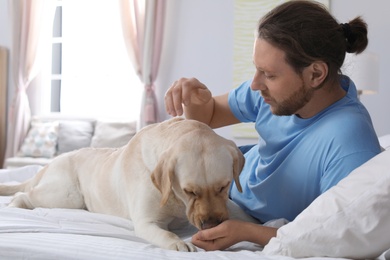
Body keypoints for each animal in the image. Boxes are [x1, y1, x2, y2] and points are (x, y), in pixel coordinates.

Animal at [0, 118, 256, 252]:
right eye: (189, 191)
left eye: (223, 187)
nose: (211, 224)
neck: (174, 198)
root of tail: (49, 163)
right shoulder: (146, 222)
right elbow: (165, 234)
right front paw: (179, 244)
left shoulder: (225, 206)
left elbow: (242, 215)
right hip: (67, 195)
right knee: (26, 194)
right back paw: (14, 204)